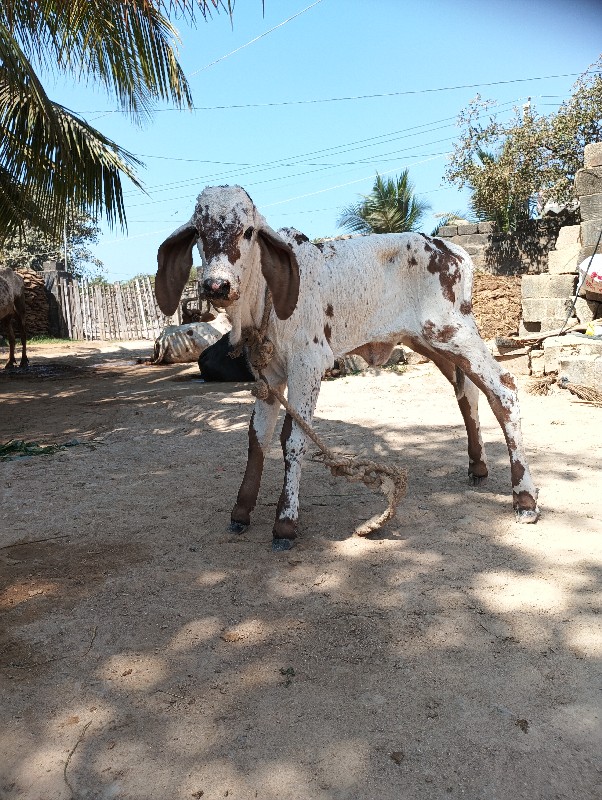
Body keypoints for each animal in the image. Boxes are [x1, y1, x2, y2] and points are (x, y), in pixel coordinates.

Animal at [156, 187, 540, 548]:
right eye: (199, 231)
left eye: (248, 231)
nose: (216, 285)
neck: (263, 296)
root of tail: (449, 247)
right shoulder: (268, 377)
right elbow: (257, 439)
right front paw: (241, 511)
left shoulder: (308, 365)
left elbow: (293, 440)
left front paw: (285, 522)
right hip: (434, 342)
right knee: (468, 390)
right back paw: (478, 467)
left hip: (454, 333)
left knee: (504, 389)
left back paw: (525, 499)